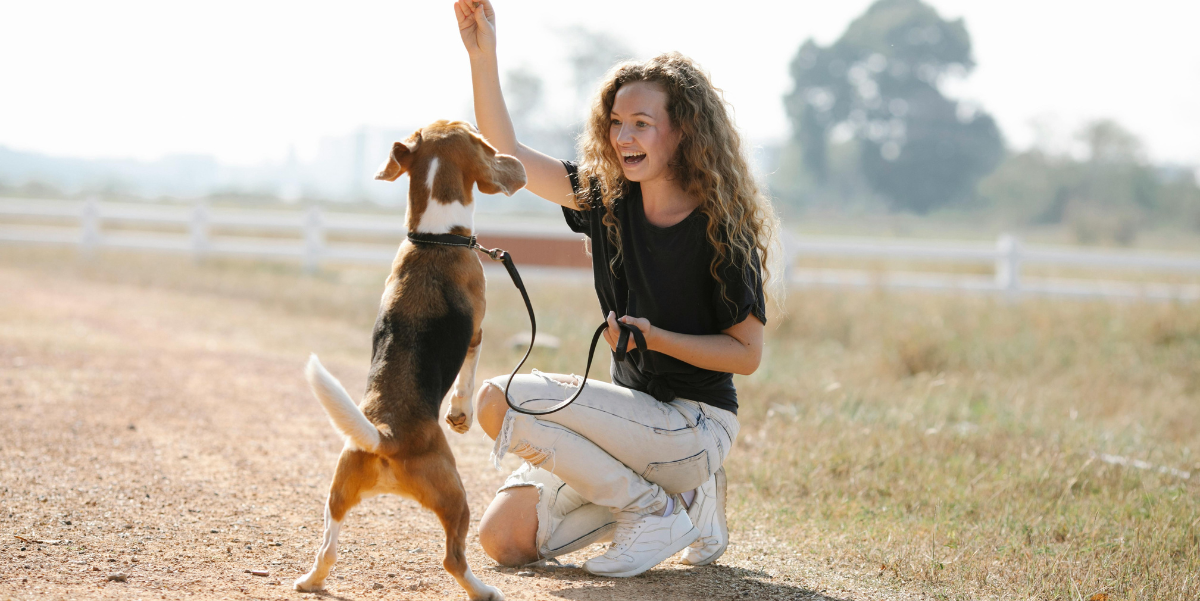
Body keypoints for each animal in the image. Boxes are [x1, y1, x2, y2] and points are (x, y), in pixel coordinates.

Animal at [292, 119, 523, 597]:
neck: (433, 238)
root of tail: (386, 435)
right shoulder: (477, 332)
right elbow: (468, 377)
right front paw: (460, 415)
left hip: (337, 492)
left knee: (328, 548)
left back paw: (310, 581)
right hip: (456, 496)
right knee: (453, 559)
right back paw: (483, 590)